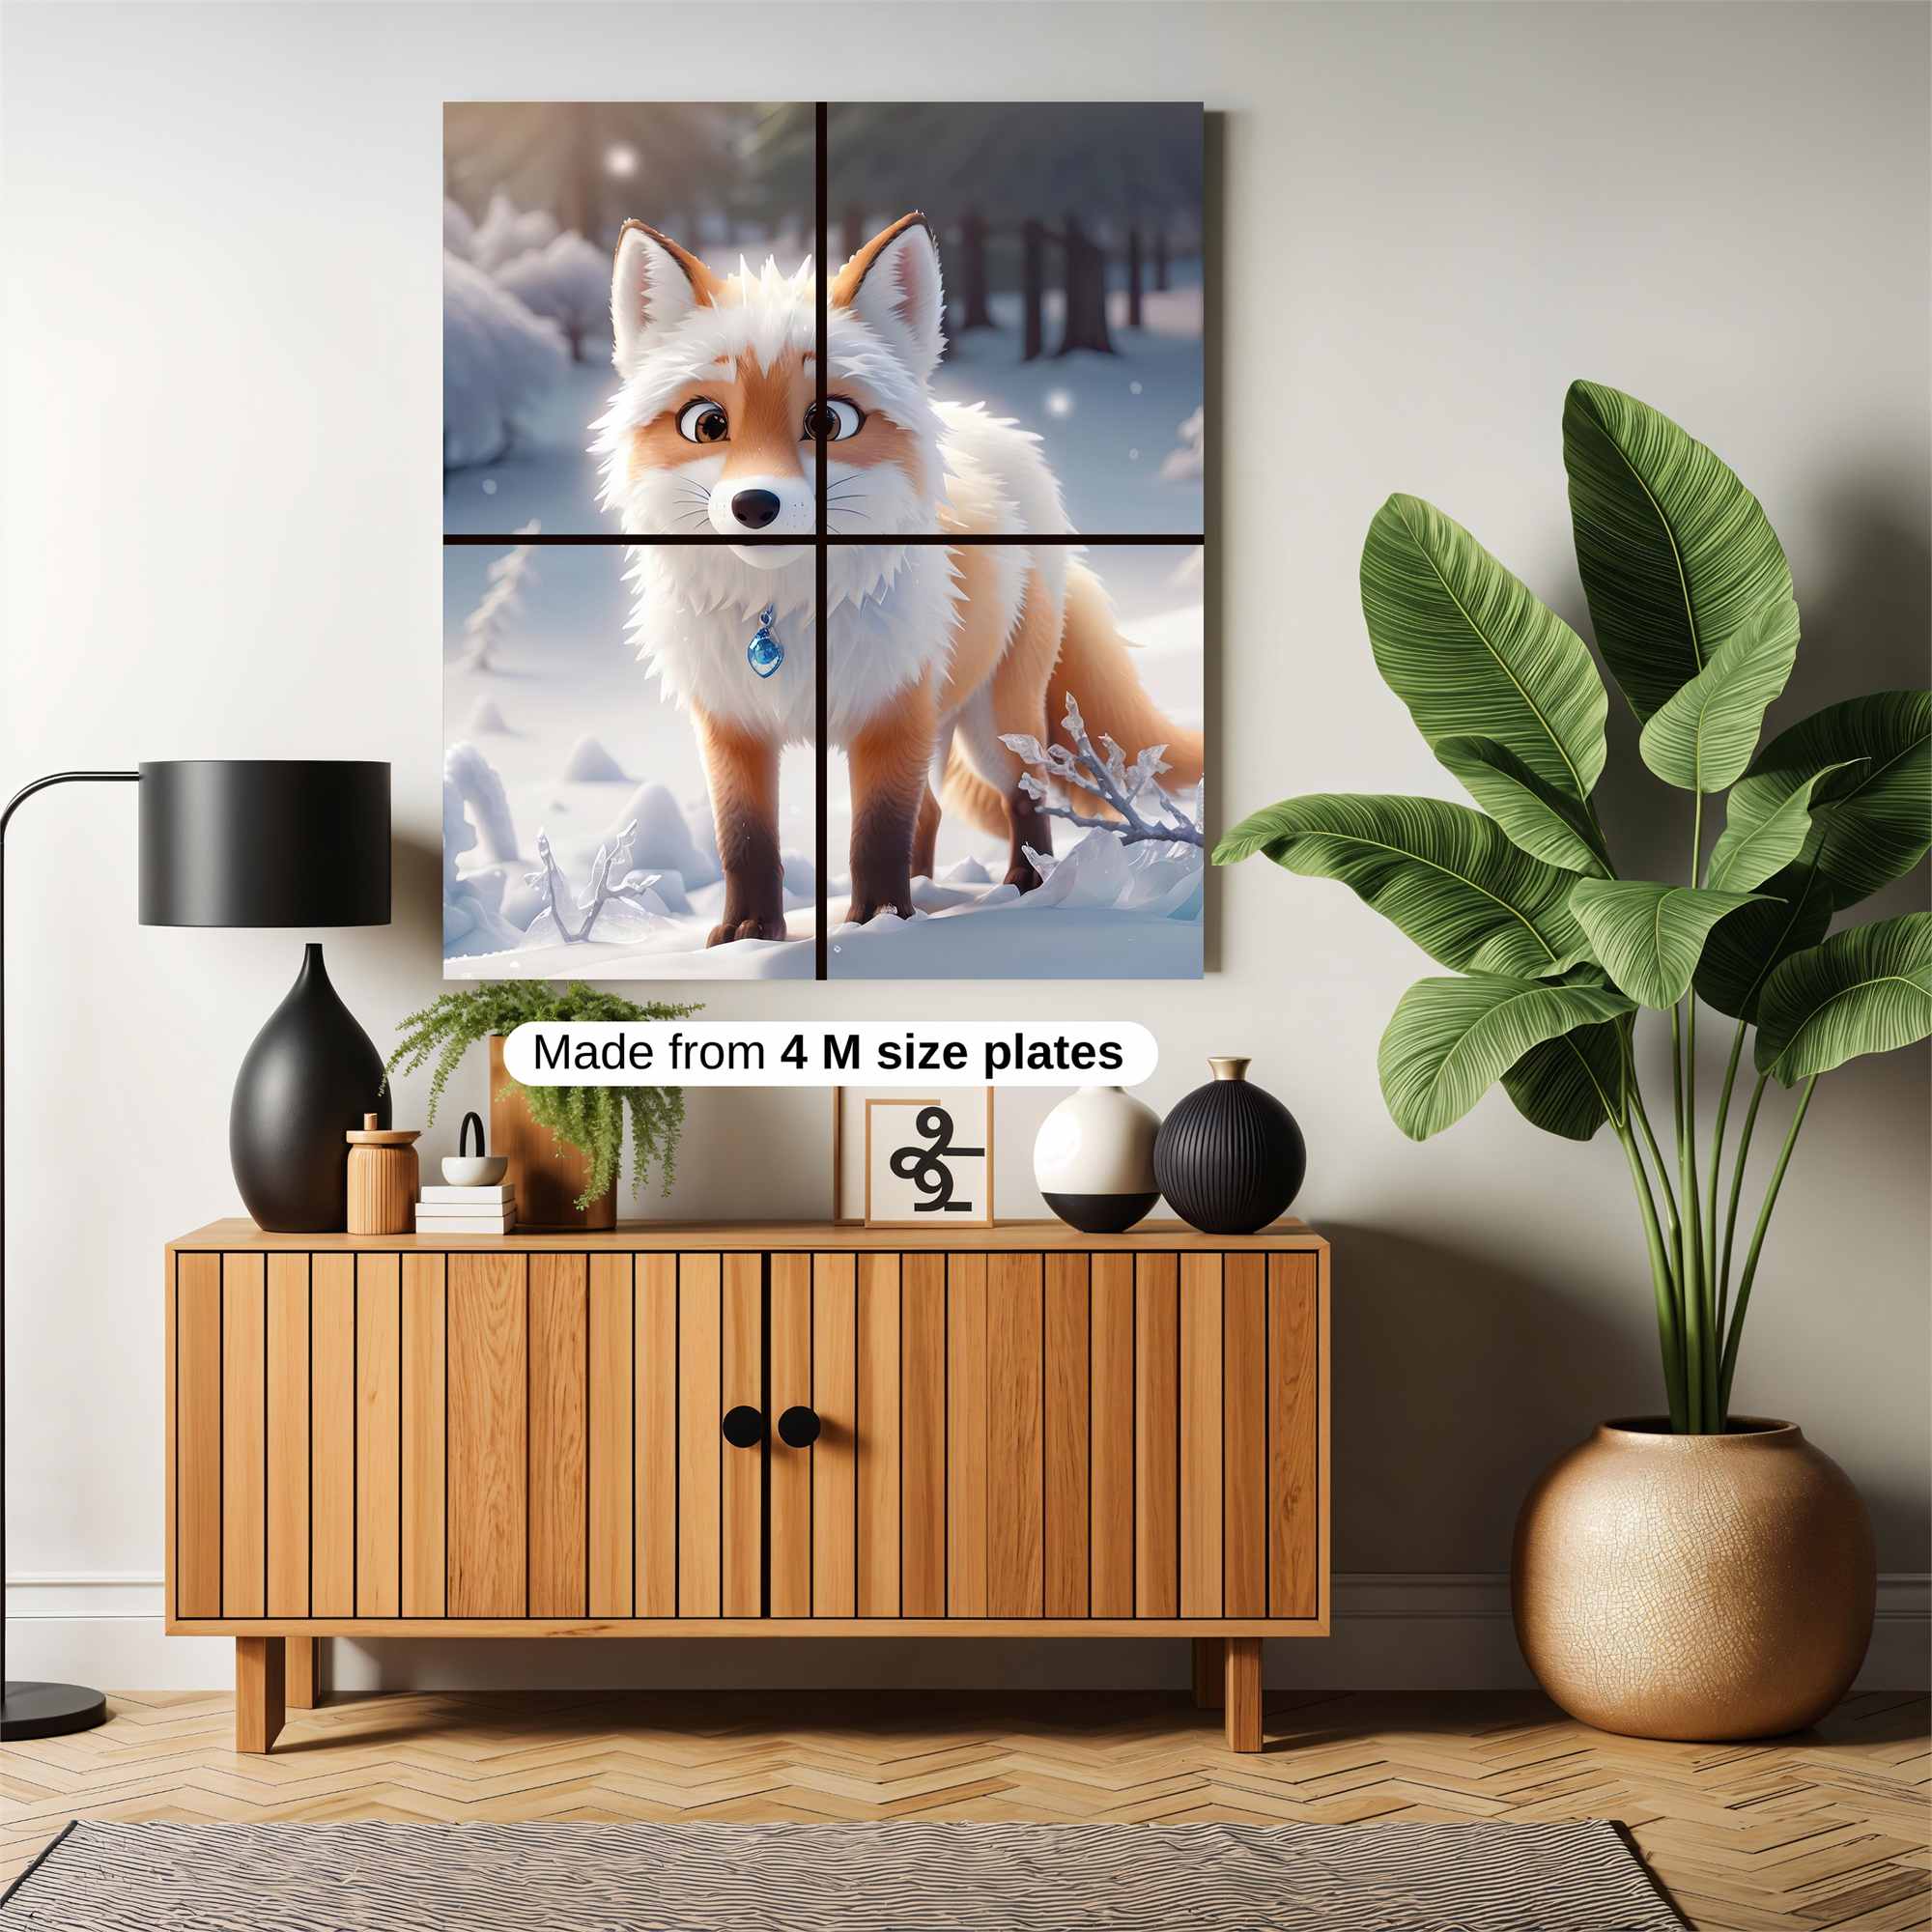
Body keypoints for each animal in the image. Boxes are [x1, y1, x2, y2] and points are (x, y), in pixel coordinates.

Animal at [592, 212, 1202, 946]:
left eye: (828, 421)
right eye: (708, 424)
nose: (754, 505)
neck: (786, 614)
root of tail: (1000, 435)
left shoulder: (891, 711)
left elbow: (877, 833)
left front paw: (876, 924)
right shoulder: (733, 723)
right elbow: (745, 841)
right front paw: (750, 934)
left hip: (993, 724)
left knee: (1023, 798)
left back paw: (1021, 892)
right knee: (934, 811)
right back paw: (928, 896)